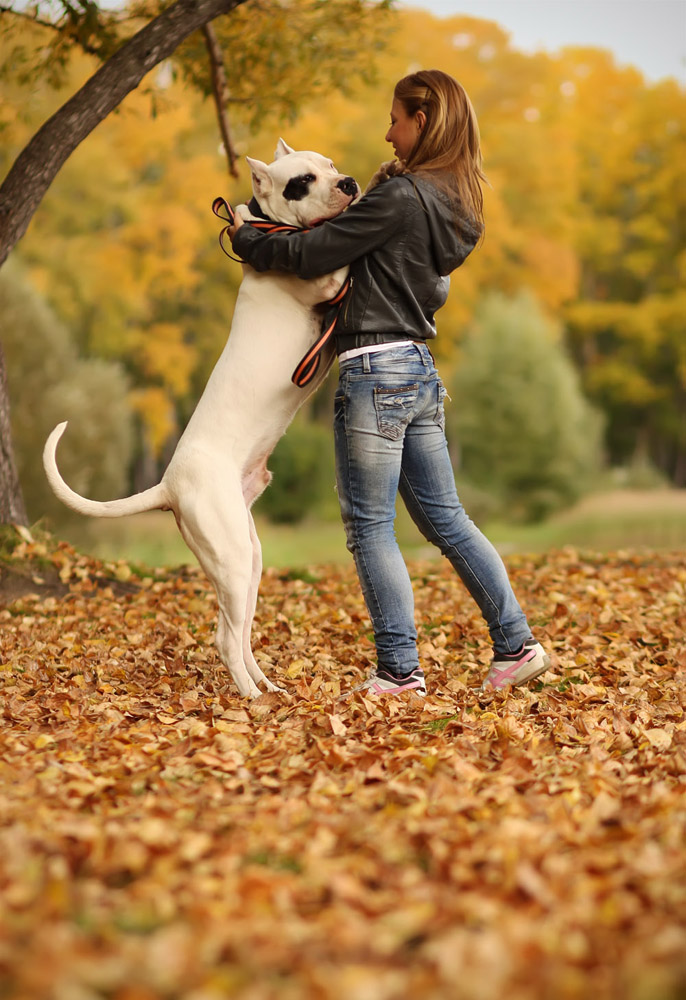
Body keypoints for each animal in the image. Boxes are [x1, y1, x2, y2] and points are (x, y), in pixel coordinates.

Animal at [44, 141, 360, 696]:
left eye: (330, 165)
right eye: (302, 181)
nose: (347, 183)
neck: (278, 229)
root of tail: (167, 484)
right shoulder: (326, 278)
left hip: (246, 559)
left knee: (238, 633)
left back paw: (268, 687)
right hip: (231, 558)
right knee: (225, 638)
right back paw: (251, 697)